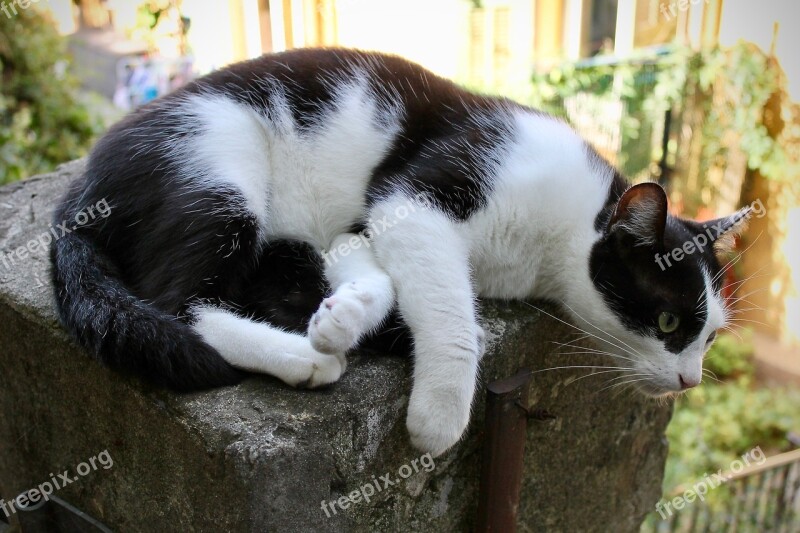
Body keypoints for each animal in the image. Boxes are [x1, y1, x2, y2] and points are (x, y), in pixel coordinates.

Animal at [51, 48, 752, 458]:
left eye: (711, 337)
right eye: (668, 321)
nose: (690, 380)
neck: (562, 230)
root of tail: (79, 190)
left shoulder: (366, 227)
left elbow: (368, 266)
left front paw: (346, 313)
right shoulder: (417, 199)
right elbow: (452, 317)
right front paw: (440, 413)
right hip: (214, 160)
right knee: (177, 303)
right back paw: (302, 359)